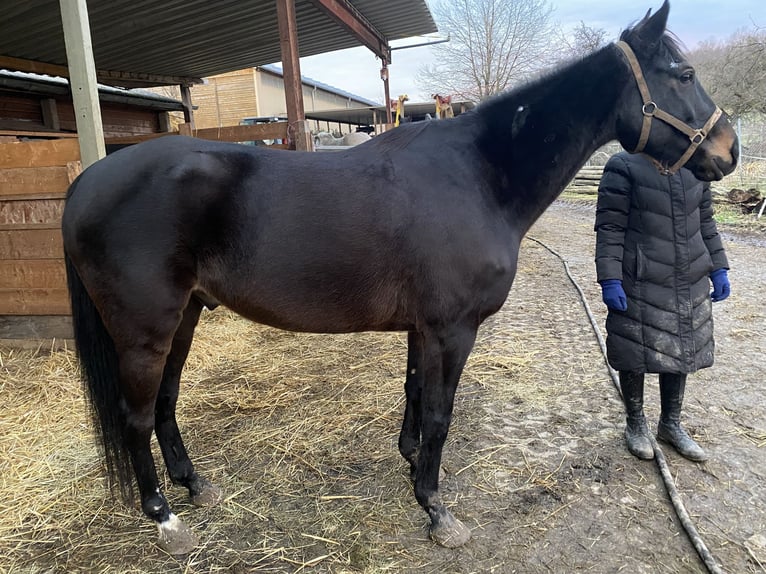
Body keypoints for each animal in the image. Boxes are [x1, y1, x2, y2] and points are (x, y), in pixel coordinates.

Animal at [64, 2, 736, 556]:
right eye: (682, 74)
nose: (728, 151)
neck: (478, 175)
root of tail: (85, 182)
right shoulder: (452, 329)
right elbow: (440, 411)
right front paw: (437, 511)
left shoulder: (423, 327)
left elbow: (414, 395)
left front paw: (412, 469)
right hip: (146, 331)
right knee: (134, 415)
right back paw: (164, 517)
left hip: (186, 316)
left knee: (165, 403)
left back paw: (194, 485)